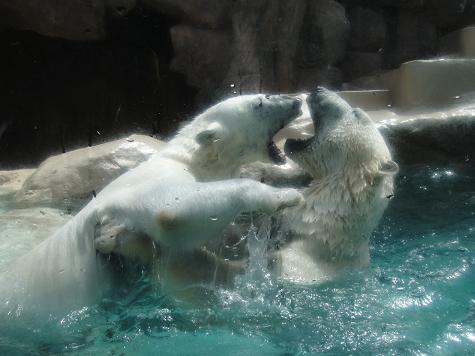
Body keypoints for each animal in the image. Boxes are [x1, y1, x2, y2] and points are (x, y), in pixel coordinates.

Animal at [0, 94, 304, 312]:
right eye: (259, 102)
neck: (190, 158)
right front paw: (285, 197)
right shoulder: (149, 185)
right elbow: (170, 212)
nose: (296, 101)